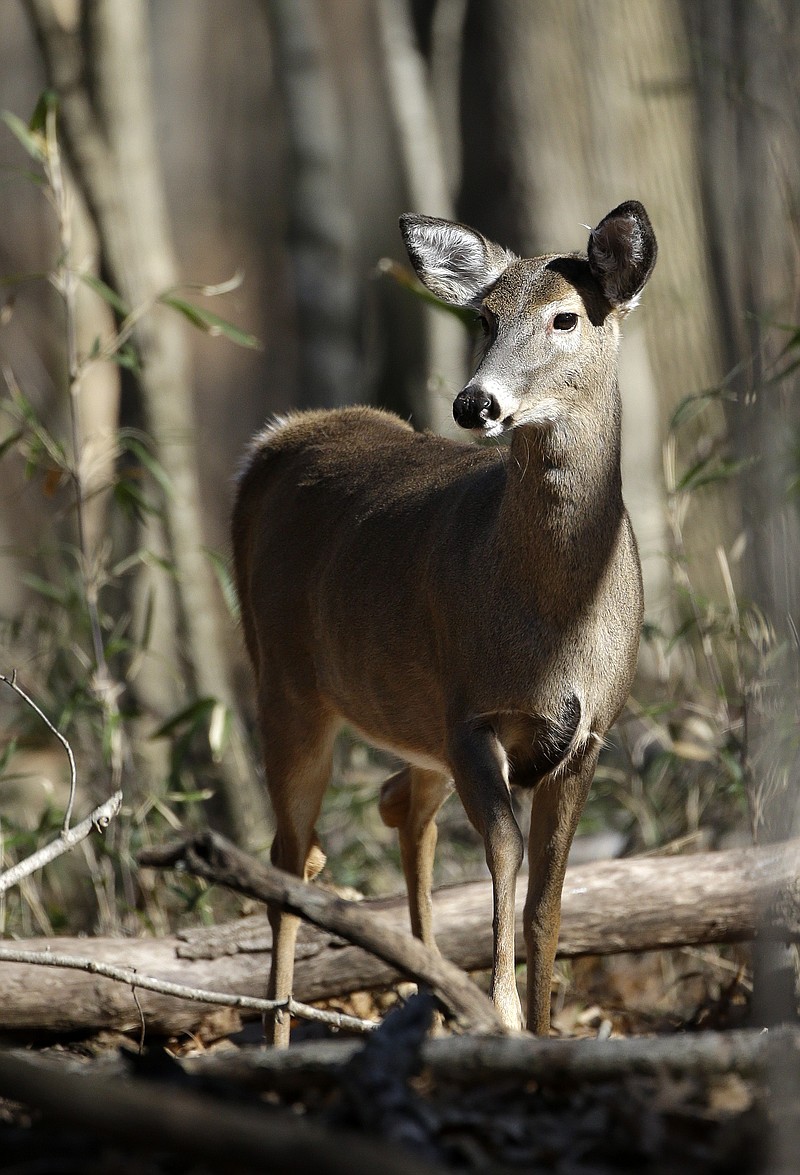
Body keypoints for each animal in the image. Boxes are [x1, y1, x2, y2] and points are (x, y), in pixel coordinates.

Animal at [231, 202, 653, 1048]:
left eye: (565, 317)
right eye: (485, 316)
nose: (473, 403)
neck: (557, 624)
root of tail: (272, 441)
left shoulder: (591, 732)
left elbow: (548, 902)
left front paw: (542, 1032)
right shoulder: (469, 714)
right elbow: (505, 857)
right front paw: (507, 1013)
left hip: (408, 713)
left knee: (398, 804)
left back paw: (426, 1000)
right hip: (287, 680)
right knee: (292, 857)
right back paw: (282, 1033)